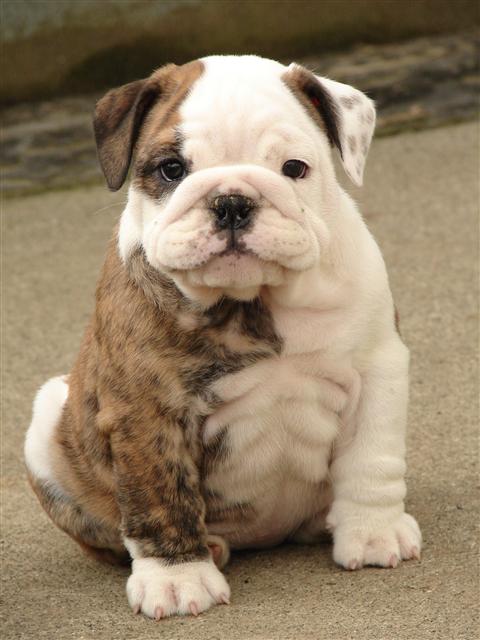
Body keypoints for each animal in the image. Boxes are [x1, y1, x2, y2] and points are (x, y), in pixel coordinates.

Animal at [24, 55, 422, 619]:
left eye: (294, 168)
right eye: (171, 169)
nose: (232, 201)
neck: (256, 298)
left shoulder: (376, 368)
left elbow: (372, 457)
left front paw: (373, 532)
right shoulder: (143, 406)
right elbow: (159, 493)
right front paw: (177, 577)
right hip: (48, 419)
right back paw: (206, 548)